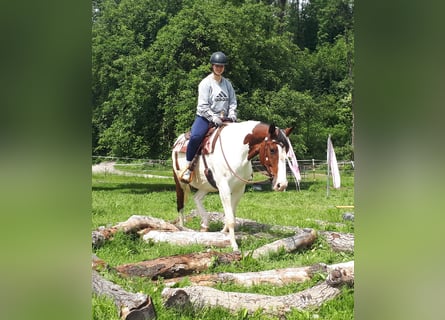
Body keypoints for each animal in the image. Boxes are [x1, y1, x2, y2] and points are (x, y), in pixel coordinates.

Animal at [170, 119, 292, 251]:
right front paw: (234, 245)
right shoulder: (224, 188)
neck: (236, 150)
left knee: (197, 198)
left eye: (287, 150)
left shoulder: (239, 189)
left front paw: (223, 233)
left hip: (206, 185)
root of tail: (178, 141)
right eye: (272, 150)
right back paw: (182, 228)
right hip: (179, 182)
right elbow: (230, 219)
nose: (282, 184)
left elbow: (232, 216)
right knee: (180, 204)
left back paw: (205, 224)